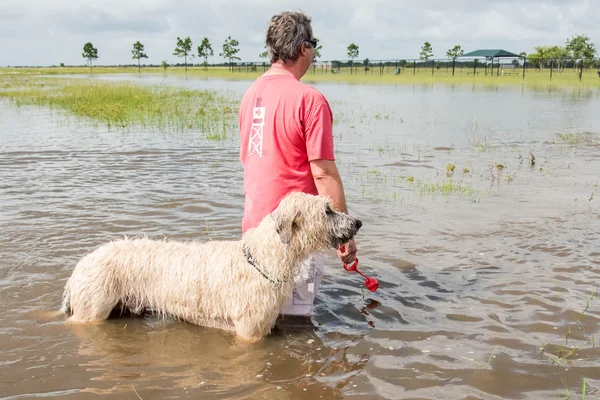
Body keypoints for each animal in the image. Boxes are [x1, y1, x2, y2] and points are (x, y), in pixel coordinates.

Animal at [59, 192, 360, 342]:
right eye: (327, 211)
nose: (357, 223)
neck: (263, 258)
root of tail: (78, 269)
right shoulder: (250, 332)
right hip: (91, 309)